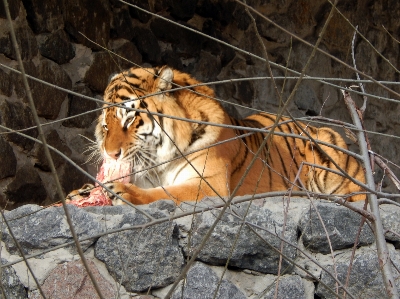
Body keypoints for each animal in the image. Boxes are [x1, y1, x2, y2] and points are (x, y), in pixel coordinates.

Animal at [68, 65, 366, 206]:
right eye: (106, 125)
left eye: (130, 119)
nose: (110, 154)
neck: (159, 161)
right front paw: (81, 192)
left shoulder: (208, 184)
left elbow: (165, 193)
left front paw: (123, 192)